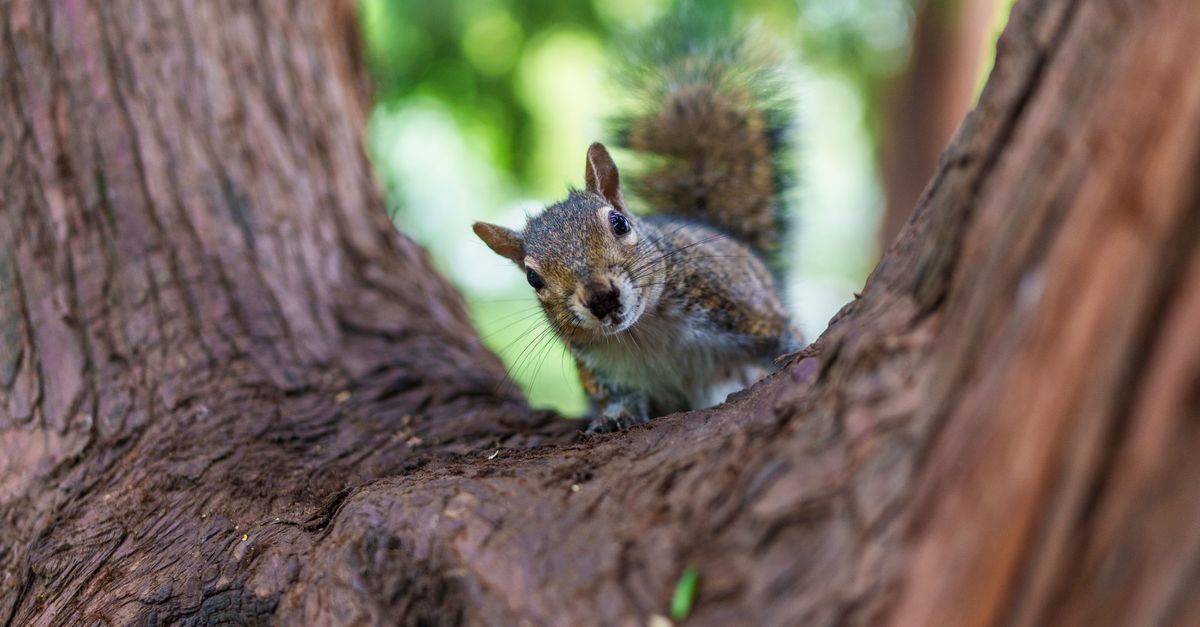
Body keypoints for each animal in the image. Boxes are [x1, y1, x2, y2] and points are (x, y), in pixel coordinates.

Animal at [473, 24, 801, 433]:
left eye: (619, 223)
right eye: (533, 278)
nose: (600, 298)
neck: (642, 331)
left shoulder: (734, 303)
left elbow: (780, 333)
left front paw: (793, 351)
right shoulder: (600, 371)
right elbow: (619, 397)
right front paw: (616, 416)